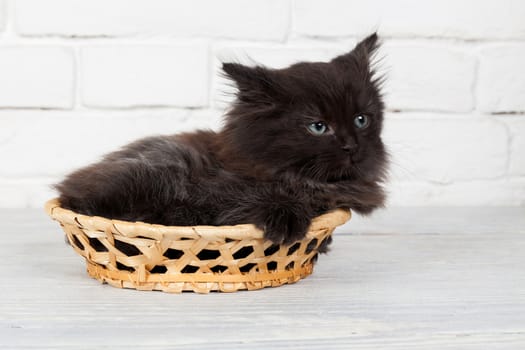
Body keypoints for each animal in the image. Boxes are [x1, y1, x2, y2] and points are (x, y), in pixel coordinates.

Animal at [56, 34, 384, 245]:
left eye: (361, 120)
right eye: (318, 127)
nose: (352, 146)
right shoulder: (214, 191)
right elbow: (255, 198)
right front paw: (286, 220)